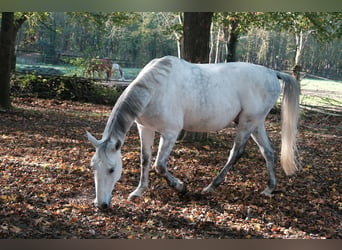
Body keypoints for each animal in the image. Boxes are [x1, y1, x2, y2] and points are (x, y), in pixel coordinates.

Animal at [87, 56, 300, 209]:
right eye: (93, 167)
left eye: (112, 169)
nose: (101, 204)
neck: (155, 88)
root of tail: (272, 72)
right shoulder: (145, 128)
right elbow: (145, 160)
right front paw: (139, 191)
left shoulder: (170, 133)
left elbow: (159, 165)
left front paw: (181, 187)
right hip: (256, 124)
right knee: (268, 151)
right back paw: (269, 189)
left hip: (247, 124)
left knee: (236, 152)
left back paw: (211, 186)